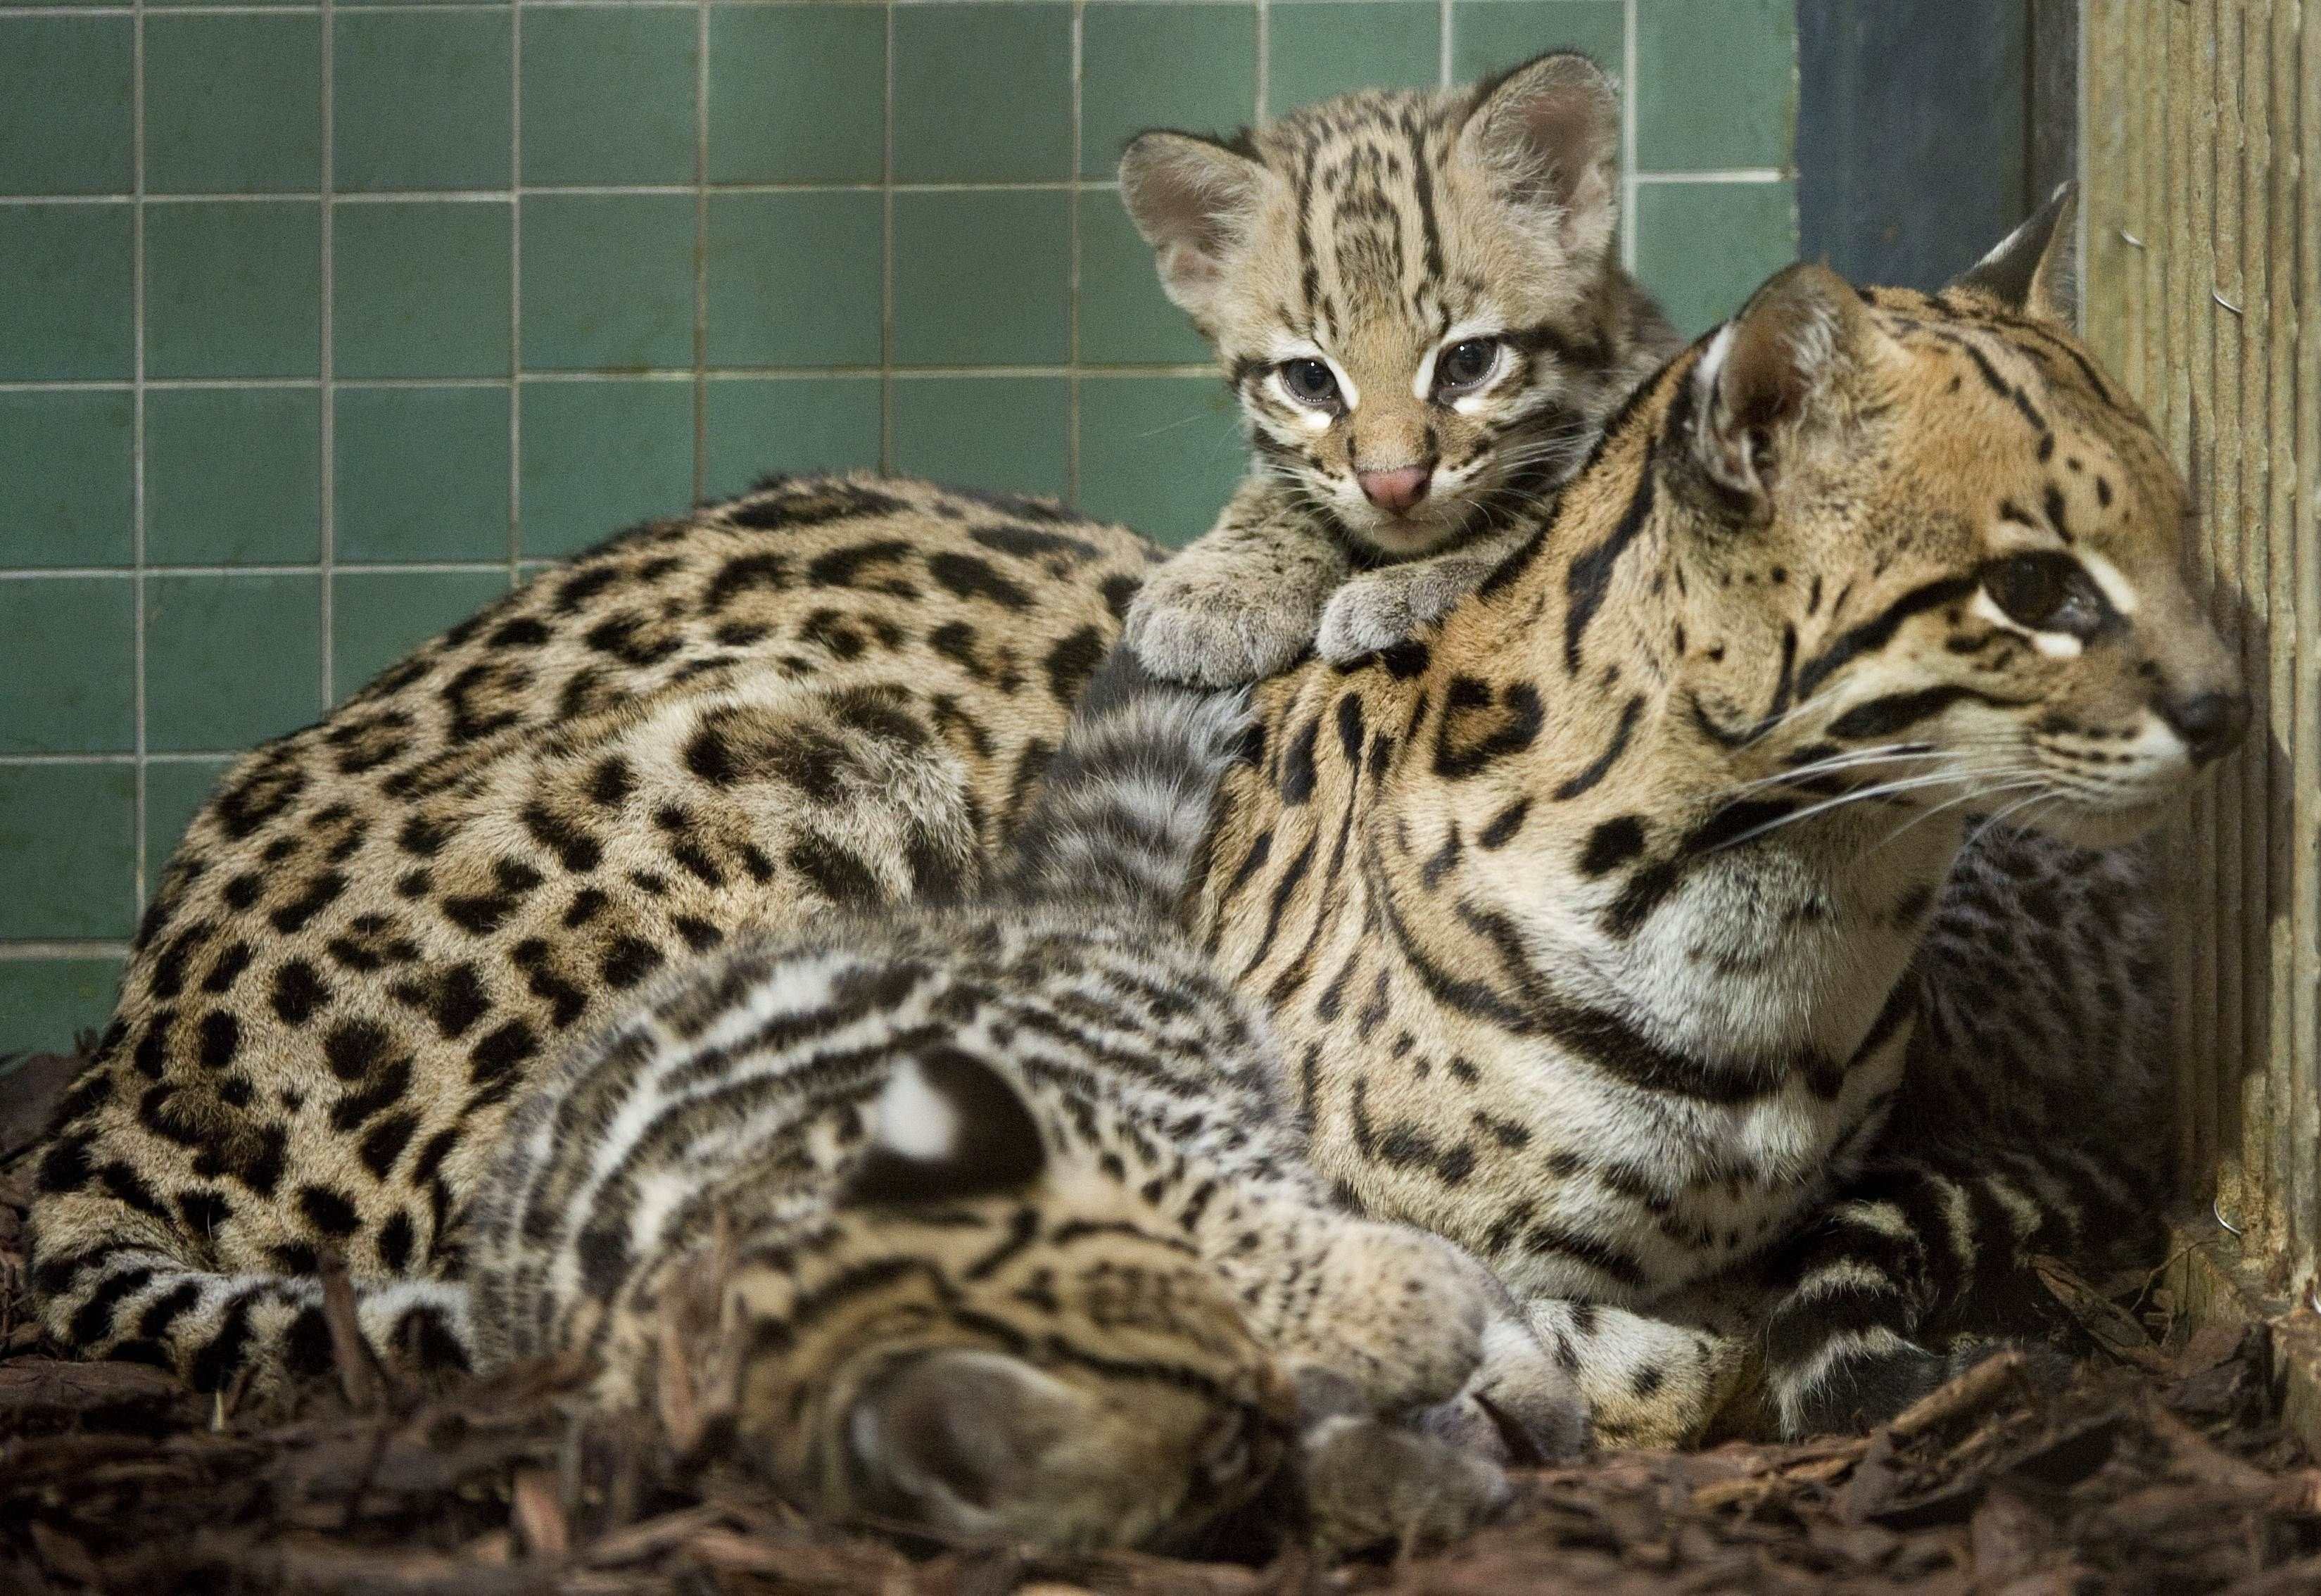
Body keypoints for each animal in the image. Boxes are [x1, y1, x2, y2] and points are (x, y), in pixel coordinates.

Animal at [1114, 48, 1680, 686]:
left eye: (1469, 362)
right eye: (1311, 379)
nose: (1393, 487)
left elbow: (1547, 522)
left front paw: (1407, 589)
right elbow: (1279, 487)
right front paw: (1225, 585)